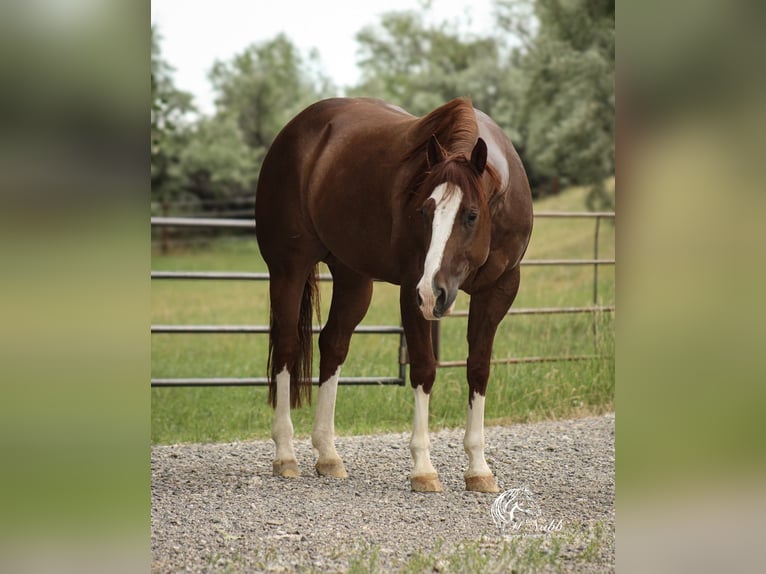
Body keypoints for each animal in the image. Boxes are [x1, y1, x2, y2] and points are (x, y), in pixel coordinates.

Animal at [255, 97, 533, 492]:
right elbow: (424, 369)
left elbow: (478, 370)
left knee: (333, 345)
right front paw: (423, 468)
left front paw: (478, 468)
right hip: (288, 270)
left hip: (354, 279)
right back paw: (285, 455)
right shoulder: (411, 290)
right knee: (287, 347)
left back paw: (328, 456)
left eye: (471, 214)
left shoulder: (499, 290)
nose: (434, 293)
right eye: (423, 210)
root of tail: (296, 129)